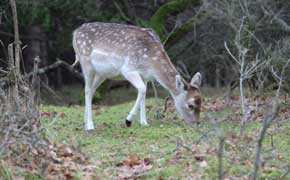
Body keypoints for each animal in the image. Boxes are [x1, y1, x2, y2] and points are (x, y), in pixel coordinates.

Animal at [72, 22, 202, 130]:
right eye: (190, 105)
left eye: (201, 102)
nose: (196, 124)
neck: (151, 64)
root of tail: (75, 32)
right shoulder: (128, 69)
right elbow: (142, 89)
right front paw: (128, 121)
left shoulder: (145, 76)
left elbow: (144, 94)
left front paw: (144, 122)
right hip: (86, 63)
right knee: (87, 89)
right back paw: (90, 125)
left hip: (102, 74)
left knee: (92, 90)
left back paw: (85, 122)